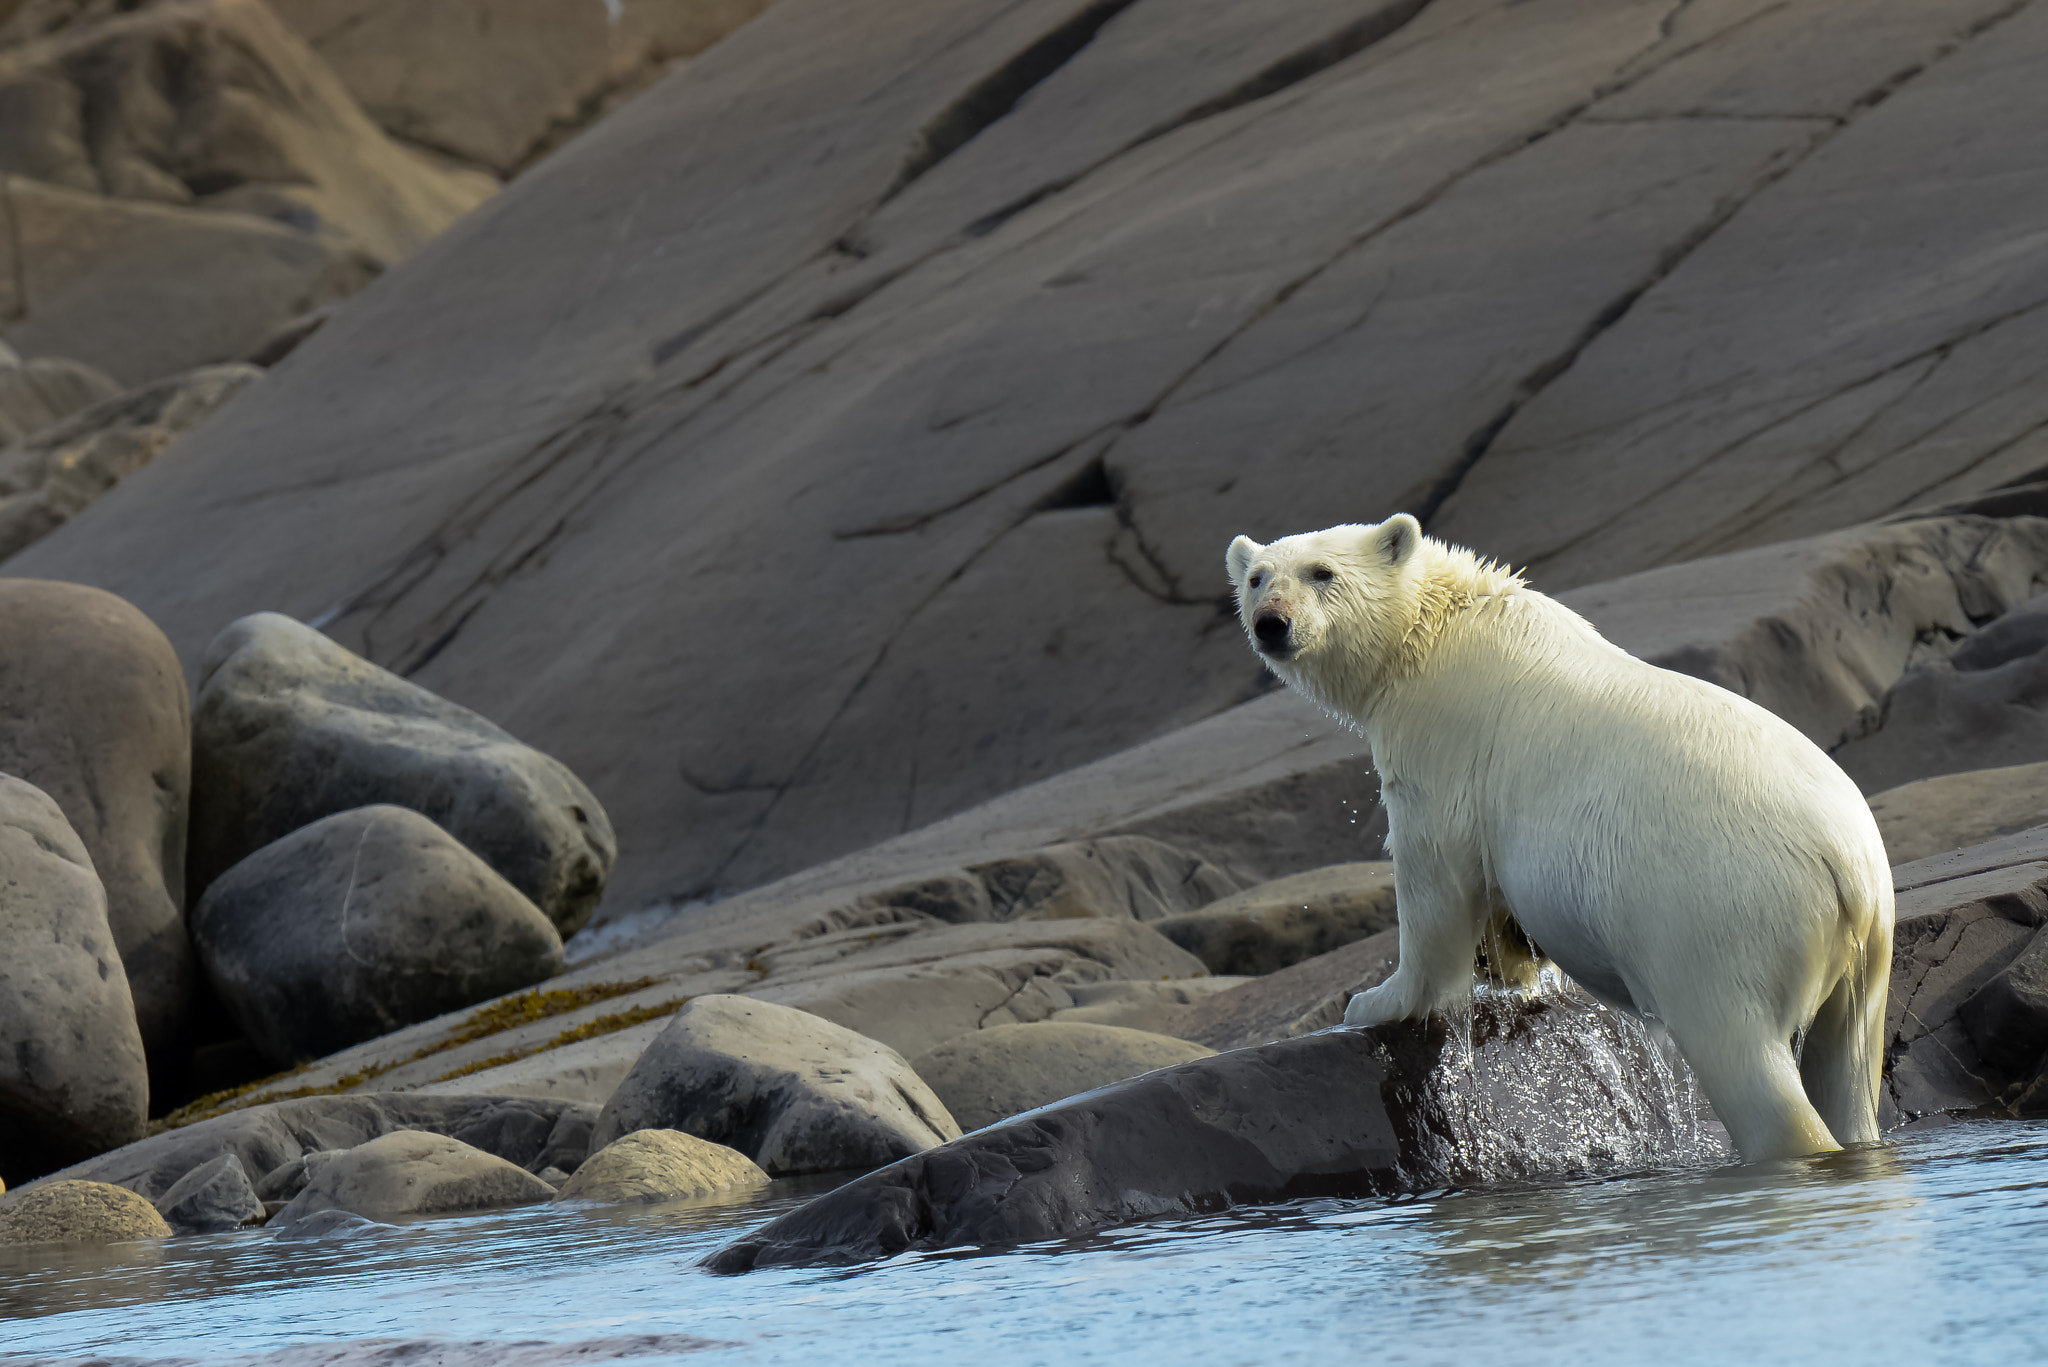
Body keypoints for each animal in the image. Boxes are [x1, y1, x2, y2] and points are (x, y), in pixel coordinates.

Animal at [1225, 514, 1893, 1162]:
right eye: (1257, 578)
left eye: (1322, 572)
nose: (1272, 623)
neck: (1437, 630)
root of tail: (1844, 867)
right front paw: (1511, 961)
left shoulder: (1440, 742)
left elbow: (1434, 878)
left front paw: (1379, 999)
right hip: (1864, 948)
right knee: (1847, 1055)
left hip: (1720, 918)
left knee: (1743, 1055)